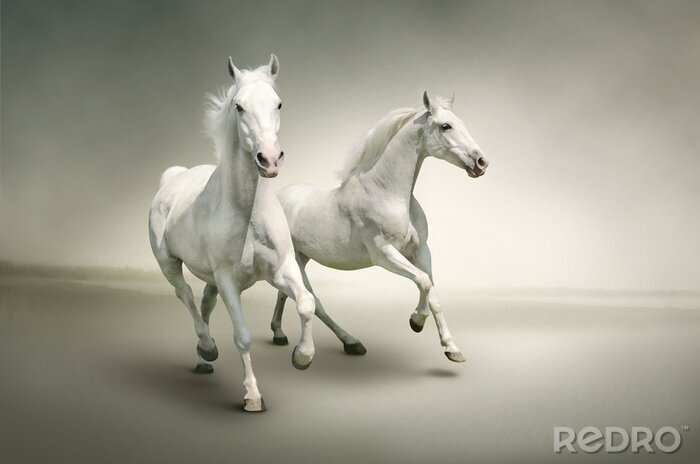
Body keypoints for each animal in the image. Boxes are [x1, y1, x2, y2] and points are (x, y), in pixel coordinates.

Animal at [148, 55, 315, 412]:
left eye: (278, 103)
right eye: (239, 107)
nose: (269, 159)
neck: (248, 213)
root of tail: (174, 177)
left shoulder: (282, 269)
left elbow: (306, 303)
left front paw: (302, 356)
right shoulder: (228, 281)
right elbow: (243, 336)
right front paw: (252, 396)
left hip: (210, 277)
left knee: (205, 302)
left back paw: (203, 357)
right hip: (168, 263)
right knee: (185, 294)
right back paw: (207, 347)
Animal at [270, 91, 488, 363]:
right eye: (445, 126)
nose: (481, 162)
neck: (387, 193)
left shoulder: (421, 252)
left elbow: (433, 292)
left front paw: (452, 349)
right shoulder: (384, 254)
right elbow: (424, 282)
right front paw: (416, 321)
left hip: (301, 257)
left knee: (285, 293)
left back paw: (280, 334)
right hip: (295, 261)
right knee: (313, 301)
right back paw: (347, 342)